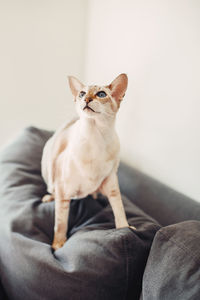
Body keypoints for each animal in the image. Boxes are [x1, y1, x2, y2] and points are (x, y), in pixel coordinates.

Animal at [41, 74, 136, 250]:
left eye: (101, 94)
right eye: (82, 93)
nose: (86, 99)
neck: (95, 138)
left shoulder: (111, 181)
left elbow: (119, 209)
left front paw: (125, 228)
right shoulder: (63, 189)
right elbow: (60, 223)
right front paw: (58, 244)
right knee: (54, 194)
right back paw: (49, 198)